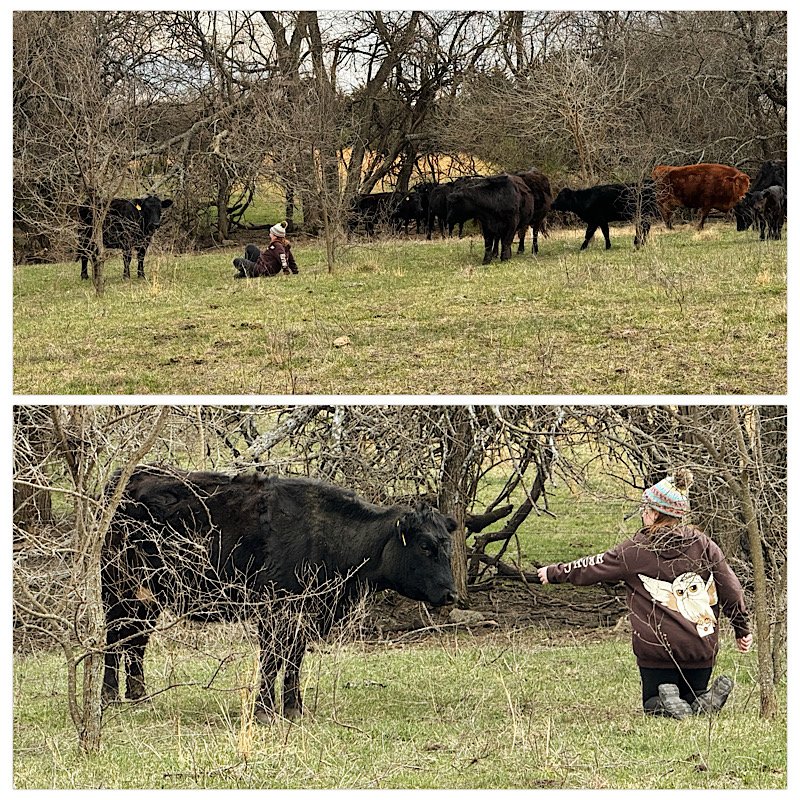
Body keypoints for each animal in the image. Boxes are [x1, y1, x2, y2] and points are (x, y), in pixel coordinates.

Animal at [100, 466, 456, 720]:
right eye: (425, 547)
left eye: (448, 546)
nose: (452, 593)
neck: (327, 537)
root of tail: (126, 478)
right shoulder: (274, 609)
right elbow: (272, 659)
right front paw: (263, 710)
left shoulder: (307, 613)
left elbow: (294, 659)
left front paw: (293, 708)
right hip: (118, 590)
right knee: (114, 639)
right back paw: (109, 697)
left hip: (148, 598)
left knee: (135, 642)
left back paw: (139, 697)